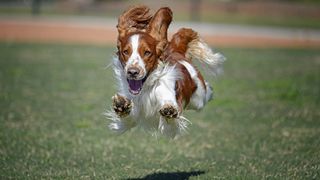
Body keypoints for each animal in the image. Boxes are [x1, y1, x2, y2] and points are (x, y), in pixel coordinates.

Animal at [105, 5, 225, 138]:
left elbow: (170, 115)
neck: (146, 89)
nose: (133, 72)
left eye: (147, 52)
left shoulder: (171, 114)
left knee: (206, 91)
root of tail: (176, 51)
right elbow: (128, 118)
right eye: (126, 51)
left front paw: (169, 110)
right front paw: (121, 105)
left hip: (198, 99)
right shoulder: (132, 113)